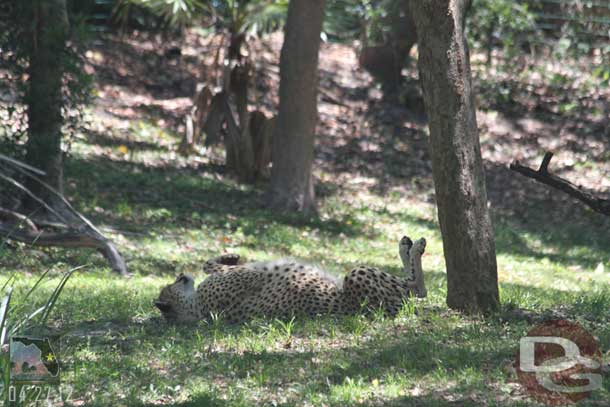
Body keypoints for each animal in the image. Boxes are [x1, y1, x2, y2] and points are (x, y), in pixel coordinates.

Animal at [154, 236, 426, 326]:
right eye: (169, 287)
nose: (180, 275)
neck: (196, 308)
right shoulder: (252, 275)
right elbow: (243, 269)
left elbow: (210, 265)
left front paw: (228, 255)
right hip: (357, 275)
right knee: (417, 288)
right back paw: (413, 247)